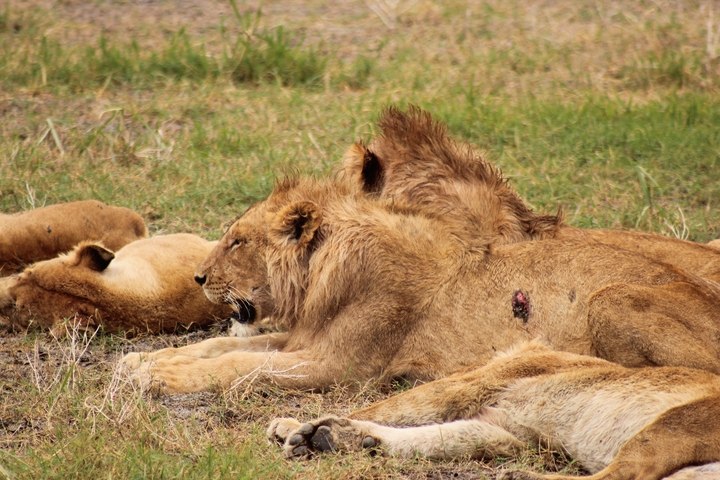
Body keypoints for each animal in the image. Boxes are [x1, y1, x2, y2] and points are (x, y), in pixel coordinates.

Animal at [121, 176, 720, 395]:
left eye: (238, 241)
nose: (199, 278)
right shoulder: (307, 338)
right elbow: (223, 347)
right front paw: (144, 362)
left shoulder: (339, 364)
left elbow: (242, 364)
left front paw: (162, 378)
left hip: (609, 296)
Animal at [268, 341, 720, 480]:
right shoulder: (507, 432)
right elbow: (438, 439)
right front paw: (338, 438)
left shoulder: (473, 383)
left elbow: (390, 405)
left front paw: (292, 427)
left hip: (675, 423)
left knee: (624, 475)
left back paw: (519, 477)